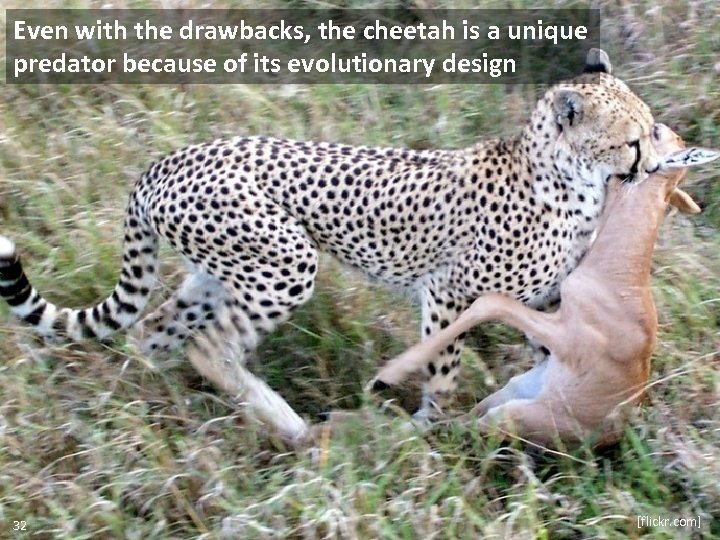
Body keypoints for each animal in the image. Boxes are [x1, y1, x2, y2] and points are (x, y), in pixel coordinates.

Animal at [0, 49, 662, 444]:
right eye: (633, 140)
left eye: (651, 131)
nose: (657, 162)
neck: (568, 179)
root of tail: (170, 158)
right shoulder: (450, 293)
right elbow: (443, 368)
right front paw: (429, 426)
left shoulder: (544, 301)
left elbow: (551, 350)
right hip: (287, 262)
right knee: (211, 346)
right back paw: (287, 425)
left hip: (217, 271)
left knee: (155, 329)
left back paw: (172, 406)